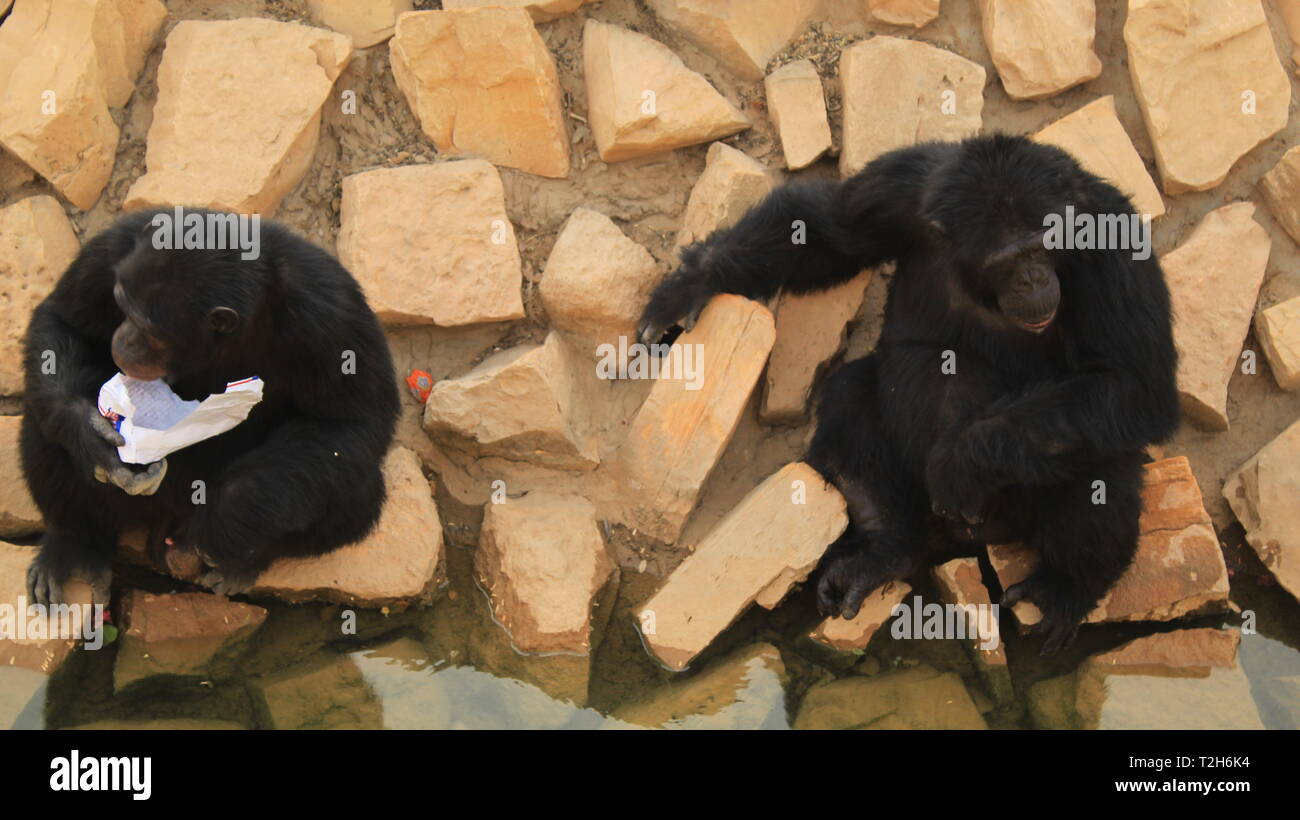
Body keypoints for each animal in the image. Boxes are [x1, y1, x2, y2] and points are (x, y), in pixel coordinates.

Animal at [19, 205, 395, 602]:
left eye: (149, 329)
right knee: (46, 427)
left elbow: (349, 422)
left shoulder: (332, 314)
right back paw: (77, 545)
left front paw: (227, 515)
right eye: (121, 304)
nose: (125, 338)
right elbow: (65, 322)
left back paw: (244, 563)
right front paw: (92, 437)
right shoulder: (114, 248)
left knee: (352, 482)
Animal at [634, 134, 1185, 654]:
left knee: (1096, 457)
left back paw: (1069, 586)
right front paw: (693, 282)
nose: (1033, 278)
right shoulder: (899, 185)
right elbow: (826, 232)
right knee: (851, 392)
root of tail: (973, 537)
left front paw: (964, 462)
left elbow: (1134, 381)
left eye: (1043, 246)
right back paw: (882, 551)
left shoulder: (1112, 240)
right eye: (1008, 259)